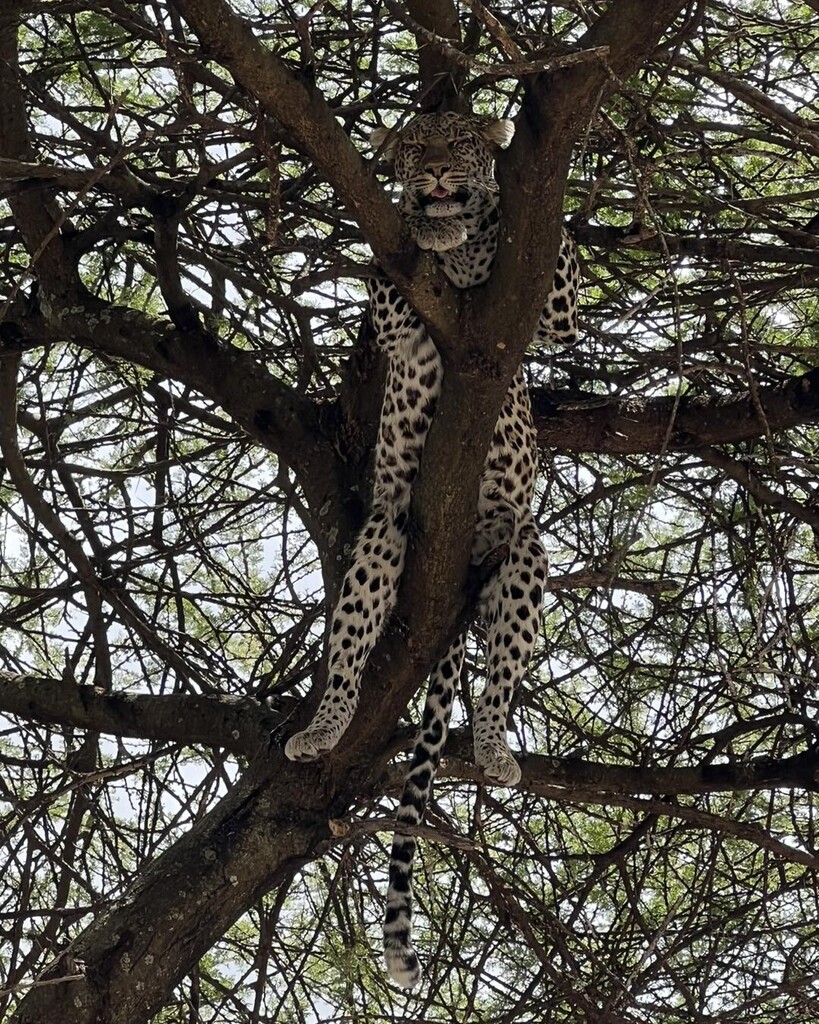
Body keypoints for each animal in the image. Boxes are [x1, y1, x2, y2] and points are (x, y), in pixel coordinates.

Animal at [284, 111, 580, 989]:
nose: (441, 174)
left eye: (464, 144)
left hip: (519, 545)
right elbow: (397, 274)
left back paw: (493, 745)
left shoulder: (548, 313)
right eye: (417, 146)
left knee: (498, 675)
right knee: (352, 638)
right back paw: (326, 724)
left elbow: (546, 260)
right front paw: (430, 223)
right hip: (386, 532)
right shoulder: (394, 314)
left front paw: (488, 208)